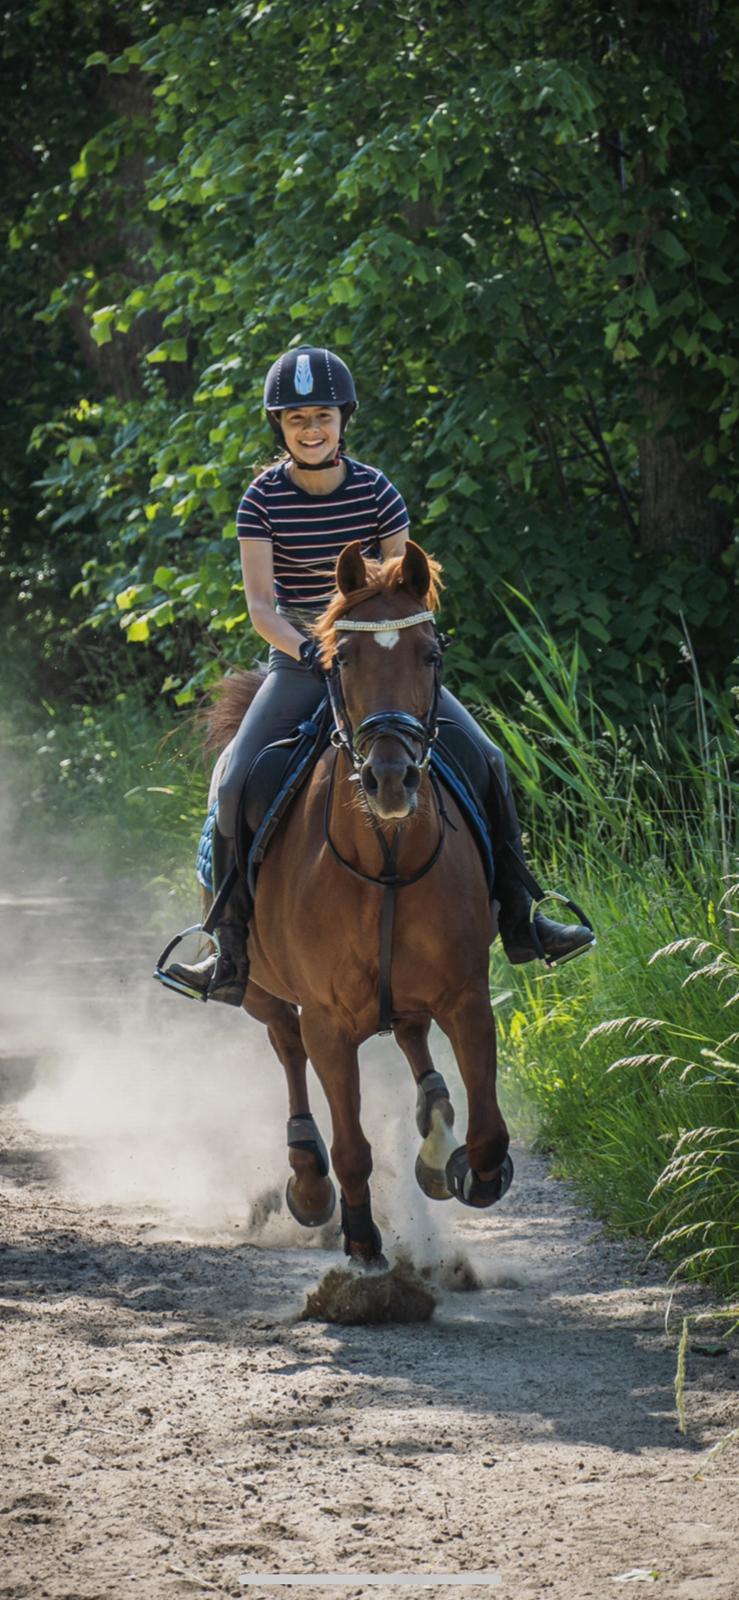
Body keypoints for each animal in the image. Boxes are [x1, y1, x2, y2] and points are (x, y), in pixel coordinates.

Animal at [204, 544, 511, 1267]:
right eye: (342, 659)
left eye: (429, 653)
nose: (390, 778)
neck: (386, 859)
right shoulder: (327, 1021)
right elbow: (351, 1146)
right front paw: (364, 1243)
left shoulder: (467, 996)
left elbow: (488, 1136)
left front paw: (461, 1169)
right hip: (258, 989)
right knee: (286, 1048)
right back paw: (309, 1182)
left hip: (406, 998)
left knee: (412, 1039)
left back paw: (434, 1140)